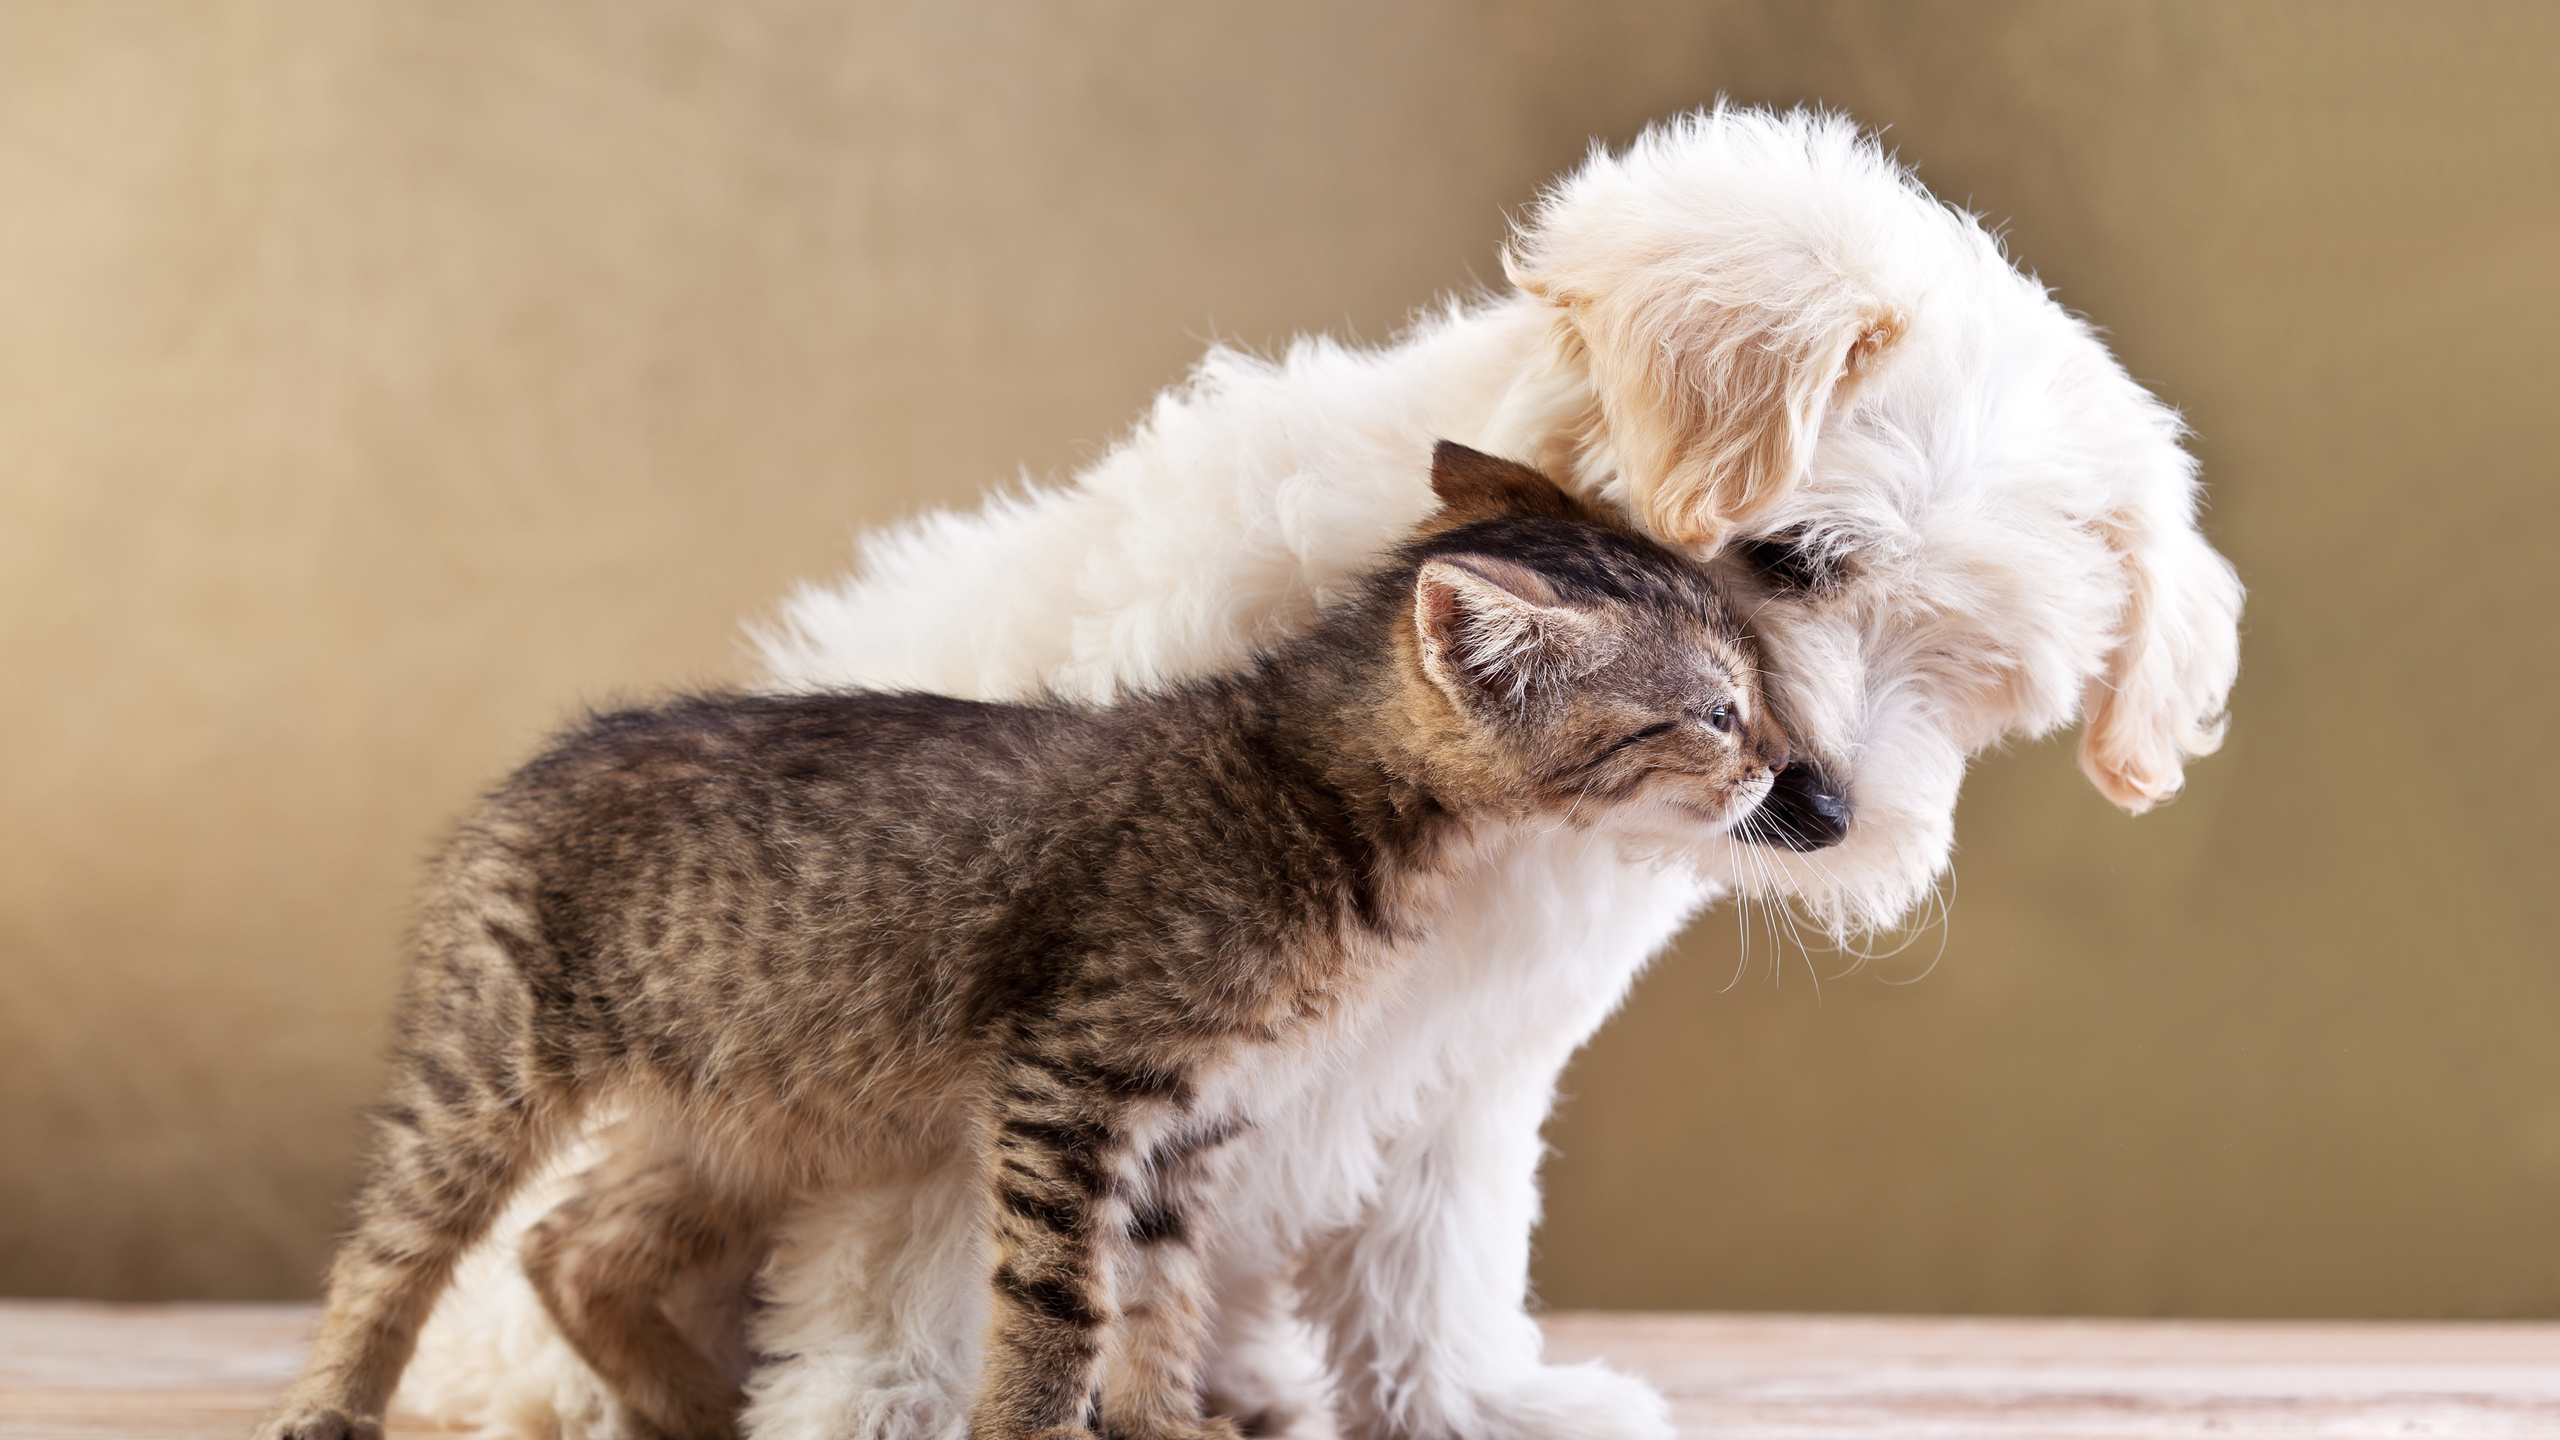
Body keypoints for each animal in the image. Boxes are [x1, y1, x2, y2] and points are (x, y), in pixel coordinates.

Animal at [254, 440, 1781, 1434]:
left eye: (1755, 690)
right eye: (1714, 712)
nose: (1784, 768)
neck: (1319, 795)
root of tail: (540, 762)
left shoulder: (1193, 1124)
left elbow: (1160, 1296)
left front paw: (1163, 1424)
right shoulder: (1071, 1080)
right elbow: (1062, 1303)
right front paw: (1039, 1421)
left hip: (746, 1112)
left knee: (570, 1245)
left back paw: (702, 1406)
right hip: (489, 1067)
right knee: (390, 1249)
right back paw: (331, 1406)